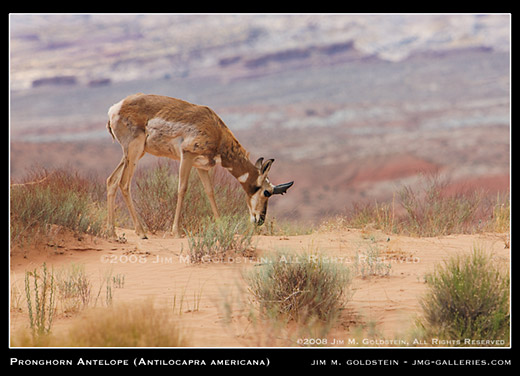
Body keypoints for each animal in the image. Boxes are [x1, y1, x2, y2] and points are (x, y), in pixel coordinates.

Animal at [105, 93, 292, 238]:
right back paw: (141, 233)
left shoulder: (201, 166)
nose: (260, 220)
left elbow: (210, 192)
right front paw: (176, 232)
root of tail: (116, 107)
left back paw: (113, 233)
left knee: (111, 181)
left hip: (132, 154)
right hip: (134, 151)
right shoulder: (187, 156)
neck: (217, 131)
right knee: (124, 183)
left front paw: (221, 227)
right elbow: (182, 189)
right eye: (267, 192)